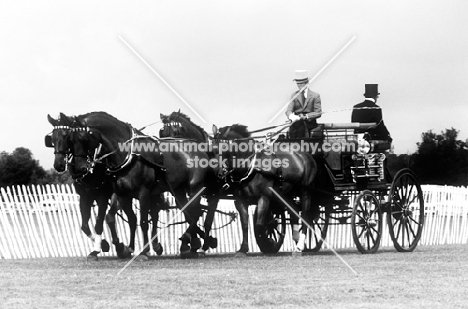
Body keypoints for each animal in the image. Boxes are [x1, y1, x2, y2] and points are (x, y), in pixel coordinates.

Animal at [46, 113, 134, 260]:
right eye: (52, 139)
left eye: (67, 137)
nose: (58, 165)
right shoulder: (85, 196)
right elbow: (85, 226)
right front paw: (103, 244)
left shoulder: (102, 196)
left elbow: (99, 222)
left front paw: (97, 249)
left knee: (111, 217)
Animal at [68, 110, 211, 258]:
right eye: (70, 140)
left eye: (83, 139)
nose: (79, 168)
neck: (129, 154)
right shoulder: (122, 194)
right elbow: (125, 219)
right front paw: (126, 248)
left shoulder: (143, 192)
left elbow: (143, 222)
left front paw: (144, 251)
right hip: (178, 190)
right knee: (188, 212)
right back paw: (190, 245)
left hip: (195, 187)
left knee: (196, 212)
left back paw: (192, 241)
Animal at [213, 123, 318, 253]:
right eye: (212, 149)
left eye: (225, 148)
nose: (219, 173)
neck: (253, 166)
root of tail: (306, 155)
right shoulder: (240, 200)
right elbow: (244, 224)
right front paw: (243, 248)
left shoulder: (264, 197)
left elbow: (259, 225)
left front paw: (268, 243)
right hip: (286, 194)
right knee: (294, 212)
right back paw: (297, 239)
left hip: (306, 191)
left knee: (306, 216)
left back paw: (300, 245)